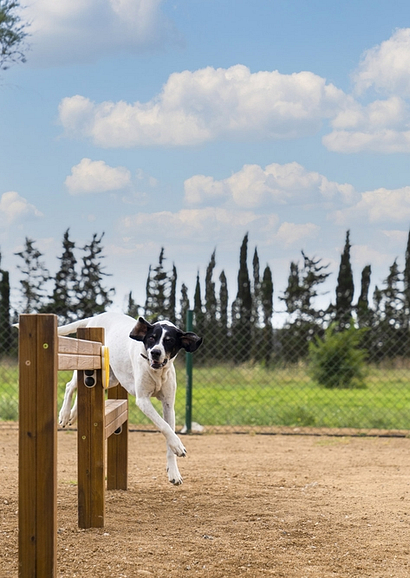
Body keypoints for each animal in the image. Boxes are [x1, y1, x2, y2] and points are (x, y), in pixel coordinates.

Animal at [58, 310, 203, 482]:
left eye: (169, 340)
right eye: (151, 338)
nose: (155, 352)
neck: (157, 372)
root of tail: (96, 317)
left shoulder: (168, 405)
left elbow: (169, 432)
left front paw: (174, 471)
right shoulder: (143, 400)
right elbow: (164, 426)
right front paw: (178, 445)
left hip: (111, 379)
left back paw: (73, 415)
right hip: (89, 360)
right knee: (70, 385)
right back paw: (65, 415)